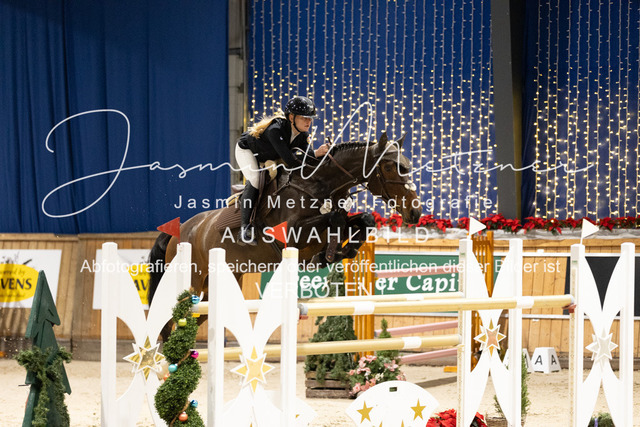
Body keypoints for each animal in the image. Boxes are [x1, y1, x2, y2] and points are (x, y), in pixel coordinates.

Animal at [148, 132, 421, 309]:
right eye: (390, 167)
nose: (415, 213)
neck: (318, 184)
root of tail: (179, 231)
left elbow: (361, 220)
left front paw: (341, 252)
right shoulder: (291, 234)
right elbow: (335, 218)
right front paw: (328, 255)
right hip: (193, 279)